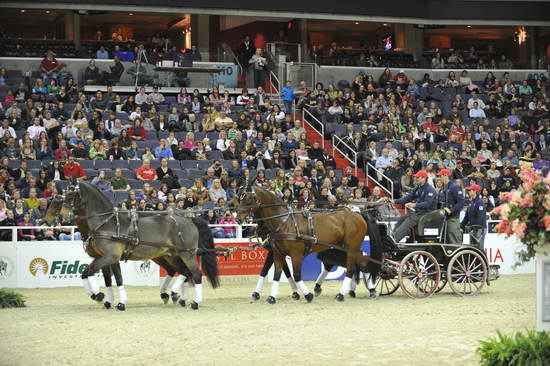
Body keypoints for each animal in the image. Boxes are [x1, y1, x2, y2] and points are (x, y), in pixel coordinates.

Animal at [44, 179, 220, 308]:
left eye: (71, 195)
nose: (60, 218)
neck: (105, 223)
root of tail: (190, 219)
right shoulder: (107, 258)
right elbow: (109, 279)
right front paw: (108, 300)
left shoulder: (110, 256)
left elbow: (90, 272)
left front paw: (100, 296)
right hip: (169, 255)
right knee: (183, 272)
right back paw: (177, 297)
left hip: (186, 253)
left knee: (195, 274)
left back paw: (193, 302)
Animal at [237, 186, 384, 304]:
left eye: (248, 199)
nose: (238, 219)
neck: (284, 222)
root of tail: (358, 213)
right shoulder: (278, 252)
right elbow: (277, 273)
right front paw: (272, 297)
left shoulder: (295, 253)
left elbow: (295, 274)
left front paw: (307, 295)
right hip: (346, 247)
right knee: (358, 263)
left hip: (350, 247)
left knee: (352, 268)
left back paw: (342, 294)